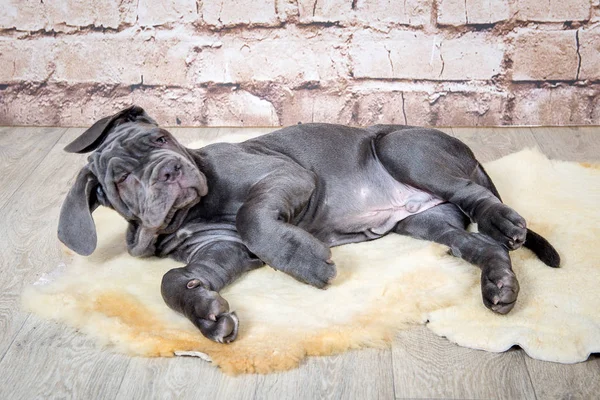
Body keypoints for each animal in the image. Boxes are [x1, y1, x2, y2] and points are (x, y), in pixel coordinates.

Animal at [58, 106, 560, 344]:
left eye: (161, 138)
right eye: (122, 179)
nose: (169, 170)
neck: (191, 214)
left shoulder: (287, 176)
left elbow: (252, 215)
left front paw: (306, 260)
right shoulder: (221, 251)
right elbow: (173, 280)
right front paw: (205, 312)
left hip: (403, 148)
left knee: (475, 197)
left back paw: (503, 221)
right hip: (428, 224)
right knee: (480, 245)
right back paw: (499, 285)